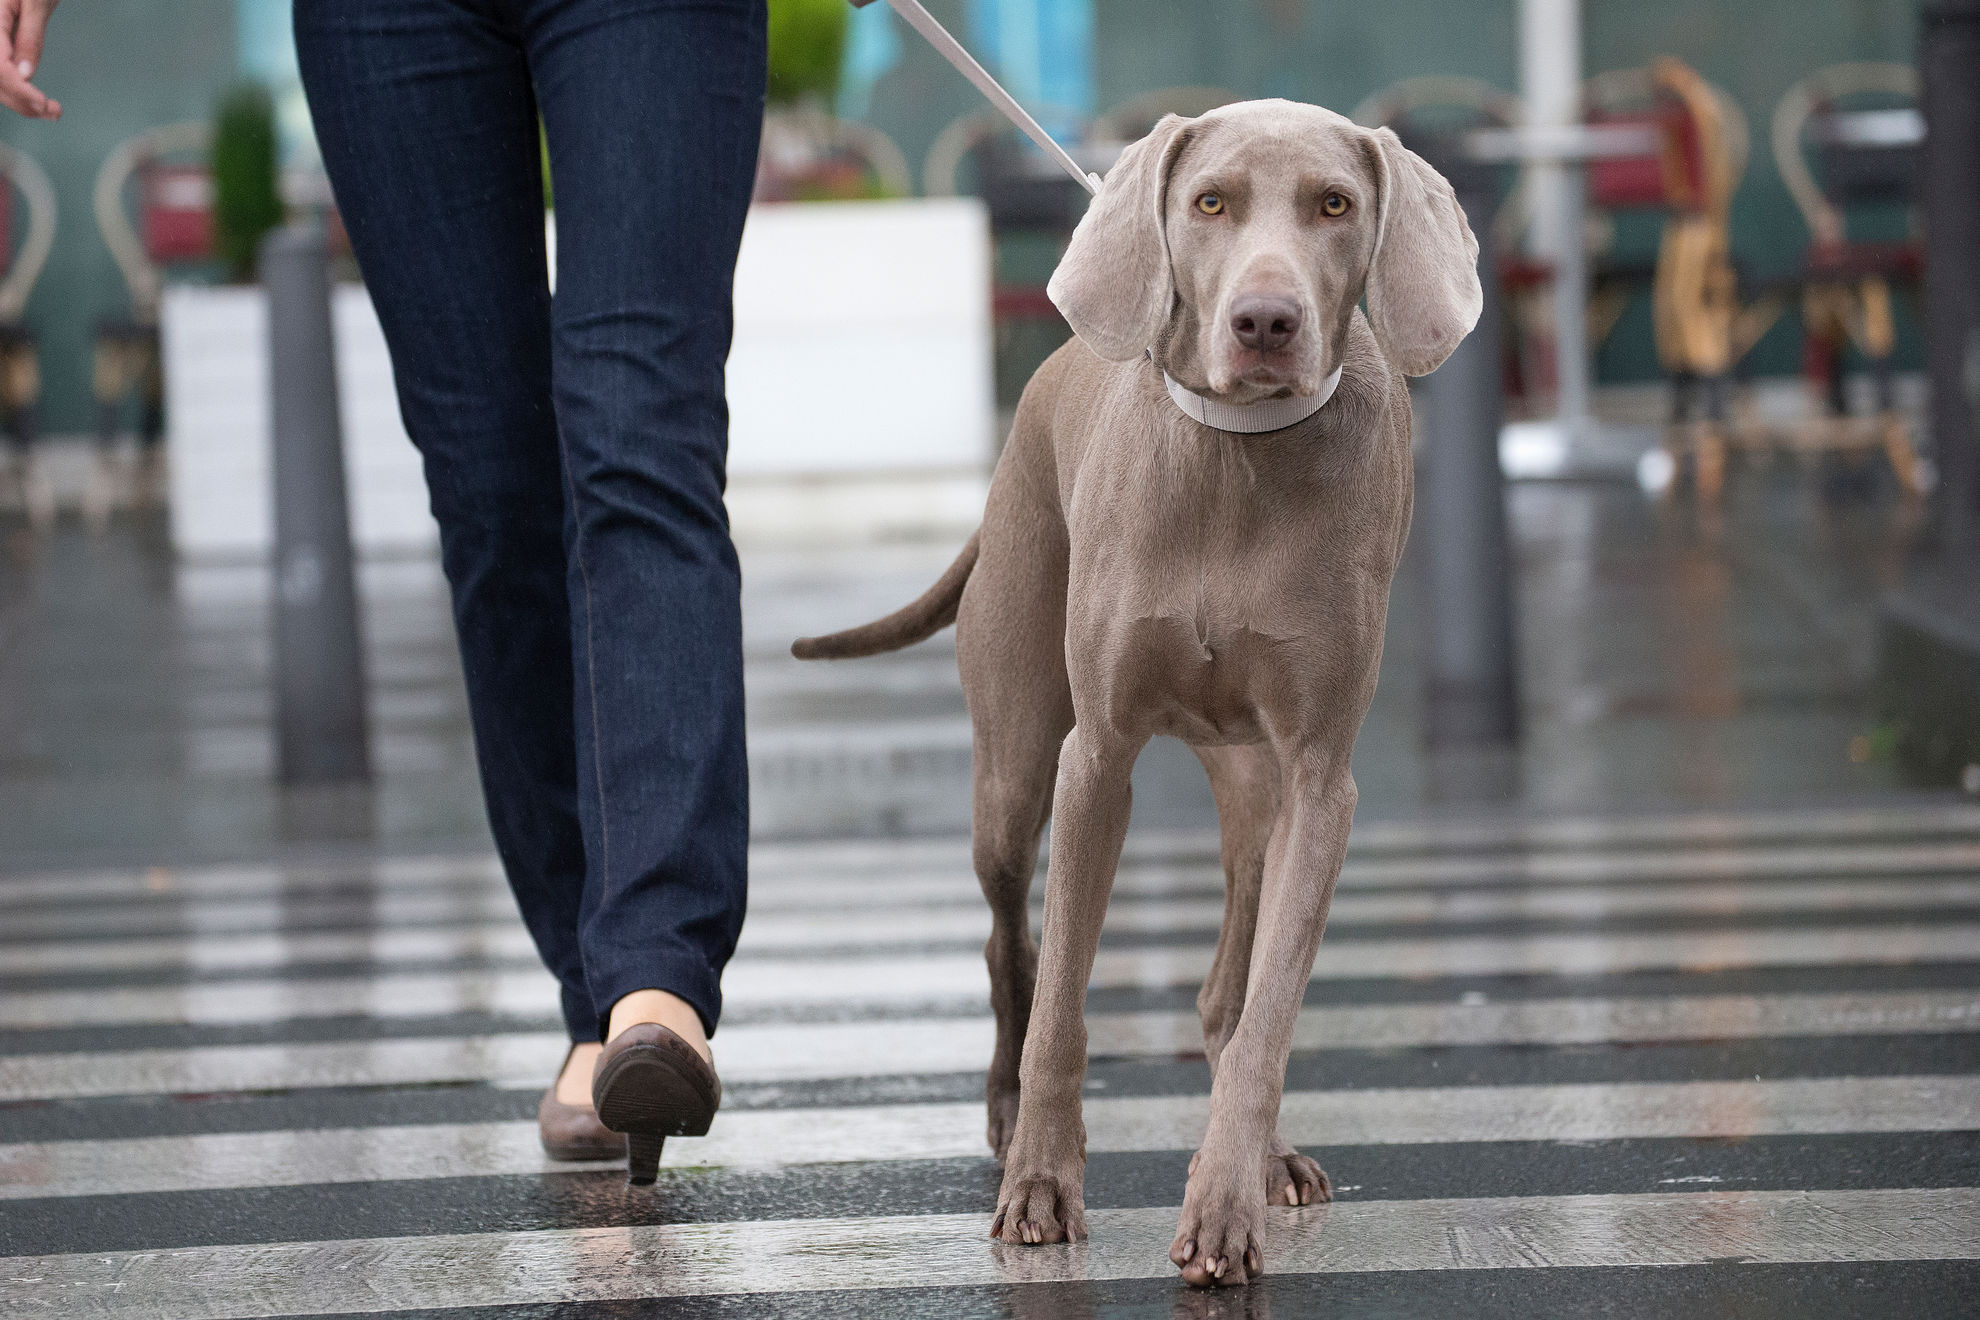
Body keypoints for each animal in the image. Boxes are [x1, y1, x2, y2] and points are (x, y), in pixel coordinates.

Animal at [784, 97, 1473, 1282]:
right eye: (1212, 203)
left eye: (1335, 205)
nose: (1265, 321)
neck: (1240, 462)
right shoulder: (1095, 755)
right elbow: (1064, 999)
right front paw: (1041, 1184)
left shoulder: (1319, 782)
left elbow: (1268, 1015)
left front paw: (1227, 1200)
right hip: (1013, 767)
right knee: (1008, 939)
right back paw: (1003, 1109)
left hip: (1250, 790)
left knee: (1228, 986)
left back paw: (1266, 1152)